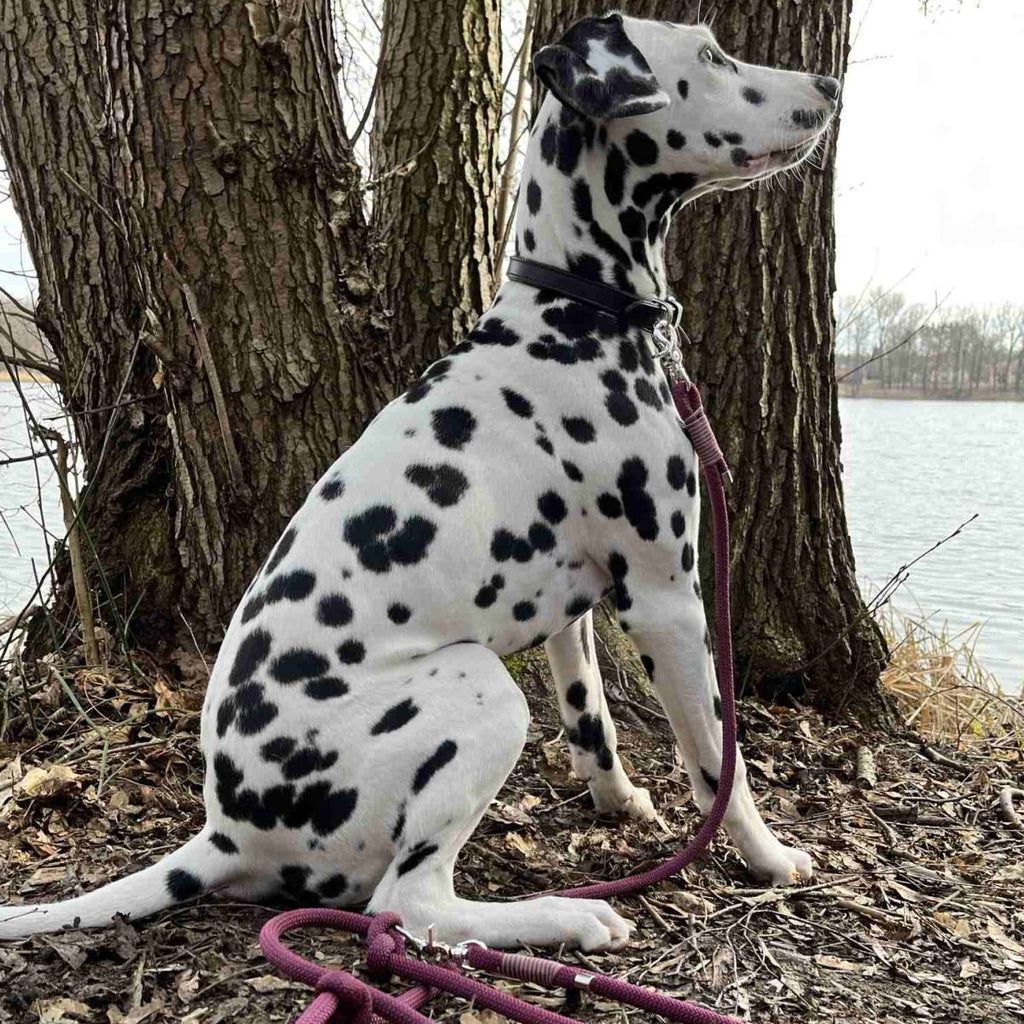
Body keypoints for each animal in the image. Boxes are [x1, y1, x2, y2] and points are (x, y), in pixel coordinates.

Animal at [0, 14, 839, 950]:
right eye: (709, 54)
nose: (830, 87)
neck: (576, 316)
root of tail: (223, 834)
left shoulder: (578, 608)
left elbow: (592, 718)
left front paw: (618, 800)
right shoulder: (667, 600)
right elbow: (721, 760)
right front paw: (767, 856)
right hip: (480, 688)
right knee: (410, 904)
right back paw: (567, 917)